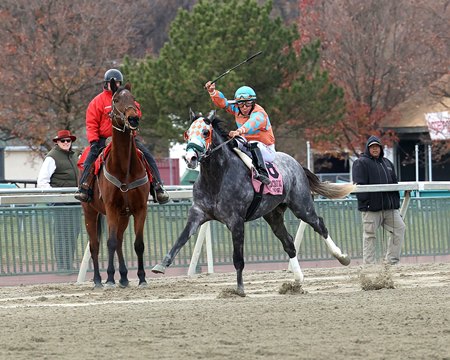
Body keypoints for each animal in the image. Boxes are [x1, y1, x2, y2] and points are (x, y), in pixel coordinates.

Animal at [81, 81, 151, 286]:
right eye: (116, 99)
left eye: (133, 99)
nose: (133, 118)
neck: (124, 168)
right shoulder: (111, 207)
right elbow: (109, 242)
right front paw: (110, 277)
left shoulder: (140, 208)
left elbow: (138, 244)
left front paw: (141, 277)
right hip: (90, 212)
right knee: (95, 245)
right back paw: (98, 279)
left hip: (124, 215)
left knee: (119, 241)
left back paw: (125, 277)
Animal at [155, 110, 356, 296]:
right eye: (187, 133)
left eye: (205, 132)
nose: (190, 158)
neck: (216, 178)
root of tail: (297, 164)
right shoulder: (198, 213)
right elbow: (180, 239)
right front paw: (161, 265)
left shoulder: (236, 221)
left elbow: (238, 258)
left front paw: (239, 289)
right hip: (273, 214)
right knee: (288, 241)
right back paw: (297, 280)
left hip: (301, 205)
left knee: (319, 225)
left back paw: (342, 257)